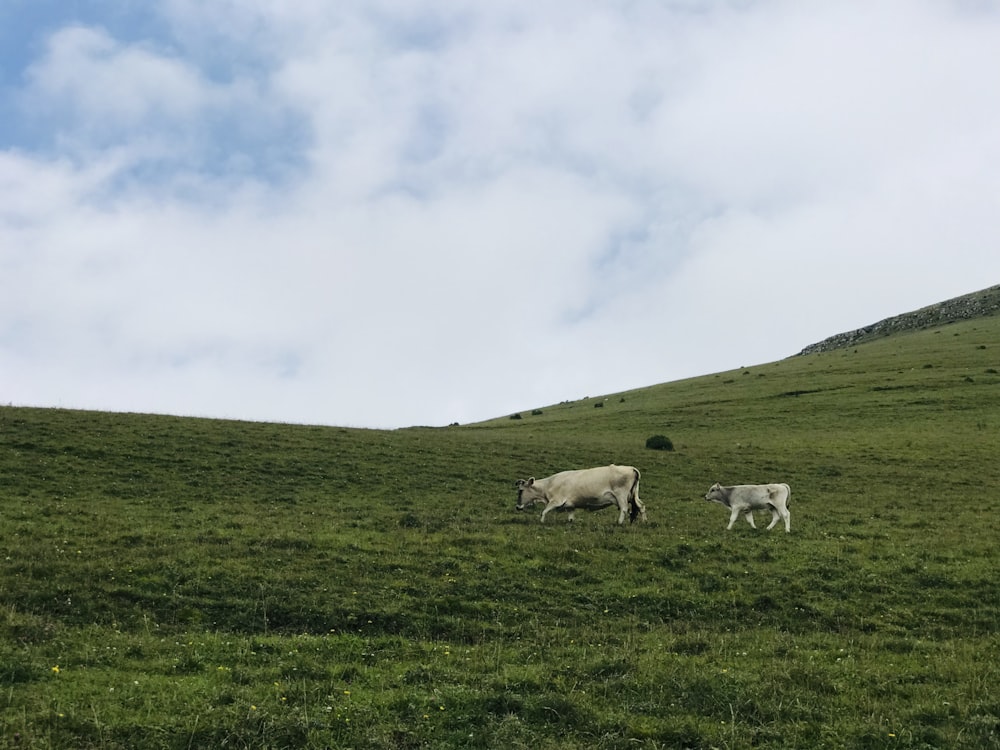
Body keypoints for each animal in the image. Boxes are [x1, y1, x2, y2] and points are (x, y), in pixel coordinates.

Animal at [516, 468, 648, 524]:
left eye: (520, 491)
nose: (517, 507)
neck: (548, 484)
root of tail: (631, 468)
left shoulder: (556, 501)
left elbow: (544, 511)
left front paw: (541, 522)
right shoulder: (570, 505)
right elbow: (570, 517)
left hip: (621, 495)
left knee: (624, 509)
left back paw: (619, 522)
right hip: (633, 495)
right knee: (641, 506)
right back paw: (644, 522)